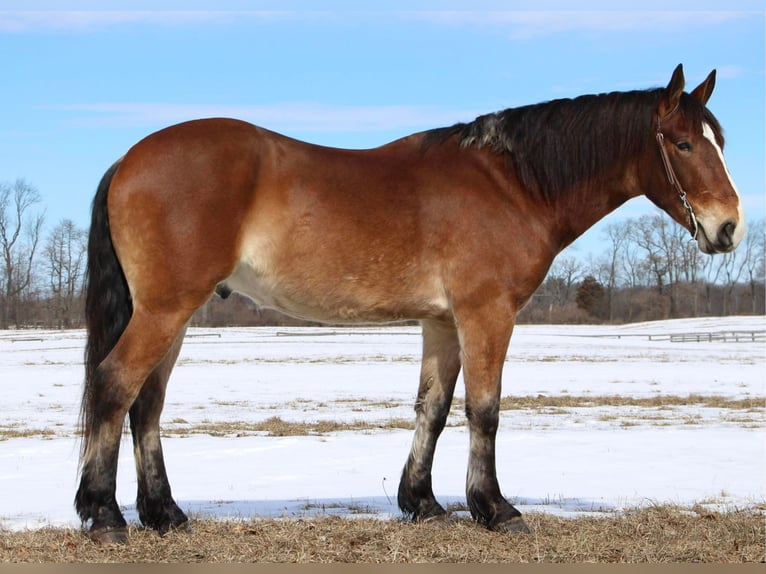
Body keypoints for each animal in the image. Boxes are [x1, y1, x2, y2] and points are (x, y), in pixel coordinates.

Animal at [75, 65, 748, 548]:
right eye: (683, 143)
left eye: (720, 140)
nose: (729, 229)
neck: (511, 183)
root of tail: (130, 159)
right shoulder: (486, 313)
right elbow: (484, 411)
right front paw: (495, 508)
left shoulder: (442, 321)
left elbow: (434, 408)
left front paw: (423, 503)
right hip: (165, 309)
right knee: (115, 386)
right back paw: (105, 515)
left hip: (173, 313)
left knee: (146, 405)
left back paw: (165, 514)